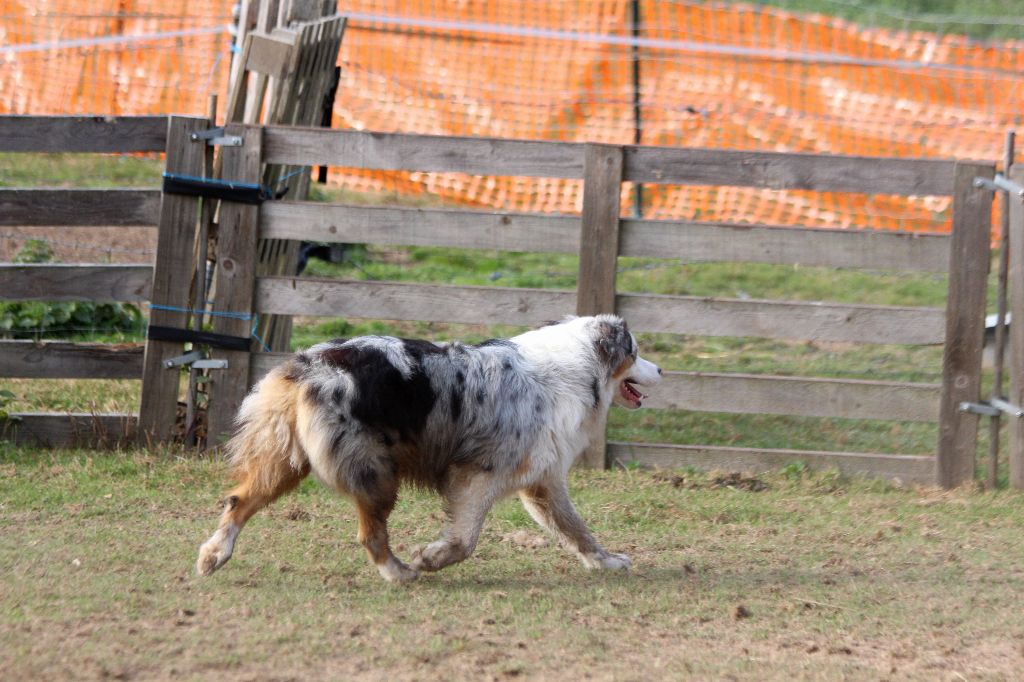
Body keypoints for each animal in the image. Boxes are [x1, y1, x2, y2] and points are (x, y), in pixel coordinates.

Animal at [197, 313, 663, 577]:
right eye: (635, 351)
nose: (660, 370)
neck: (575, 368)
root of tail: (306, 366)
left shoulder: (542, 481)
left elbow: (576, 529)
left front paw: (607, 562)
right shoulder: (479, 473)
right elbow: (465, 539)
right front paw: (431, 558)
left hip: (285, 459)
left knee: (239, 500)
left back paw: (213, 555)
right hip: (376, 472)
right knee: (371, 534)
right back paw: (401, 572)